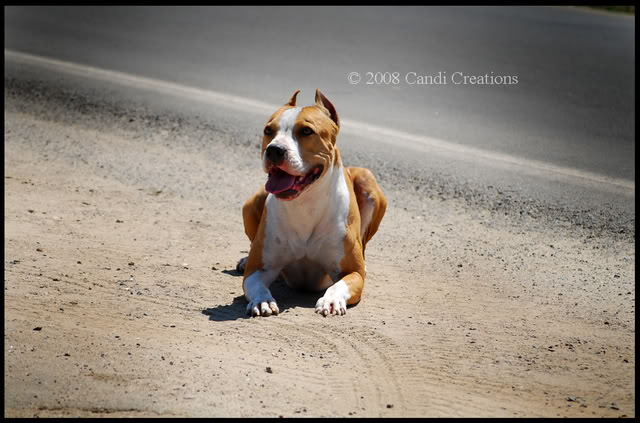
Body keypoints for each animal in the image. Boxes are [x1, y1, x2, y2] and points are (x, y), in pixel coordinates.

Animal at [235, 90, 384, 318]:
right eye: (268, 130)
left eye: (306, 131)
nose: (274, 150)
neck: (305, 205)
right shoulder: (257, 271)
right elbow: (256, 284)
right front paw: (262, 300)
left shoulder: (352, 272)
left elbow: (339, 284)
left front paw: (331, 300)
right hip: (251, 203)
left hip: (368, 180)